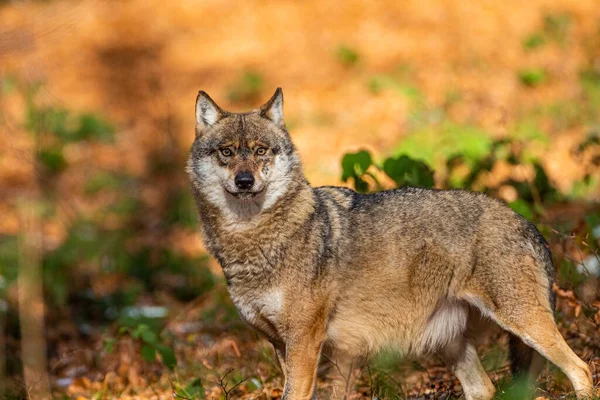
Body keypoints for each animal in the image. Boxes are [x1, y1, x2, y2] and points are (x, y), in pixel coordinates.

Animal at [189, 89, 596, 398]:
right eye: (227, 151)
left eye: (261, 151)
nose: (244, 181)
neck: (252, 238)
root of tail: (527, 222)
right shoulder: (281, 346)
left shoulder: (305, 342)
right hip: (451, 343)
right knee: (485, 388)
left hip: (524, 326)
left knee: (582, 370)